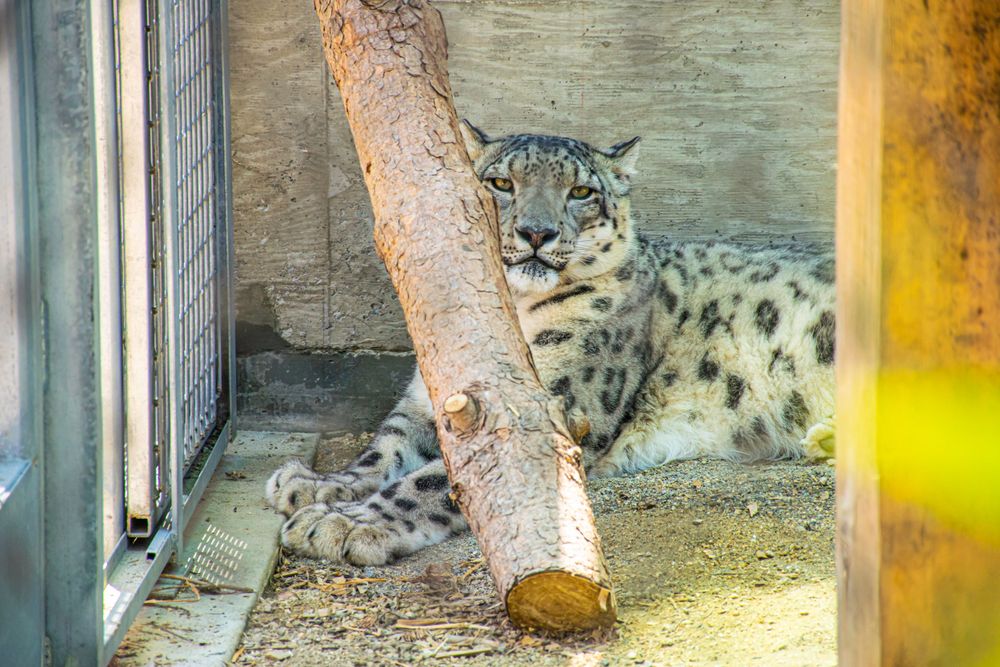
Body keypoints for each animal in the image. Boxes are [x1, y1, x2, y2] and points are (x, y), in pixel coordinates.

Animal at [265, 122, 835, 565]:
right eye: (501, 182)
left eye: (580, 192)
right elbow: (385, 449)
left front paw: (342, 524)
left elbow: (428, 481)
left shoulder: (545, 407)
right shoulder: (433, 401)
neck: (512, 309)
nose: (536, 232)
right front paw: (315, 485)